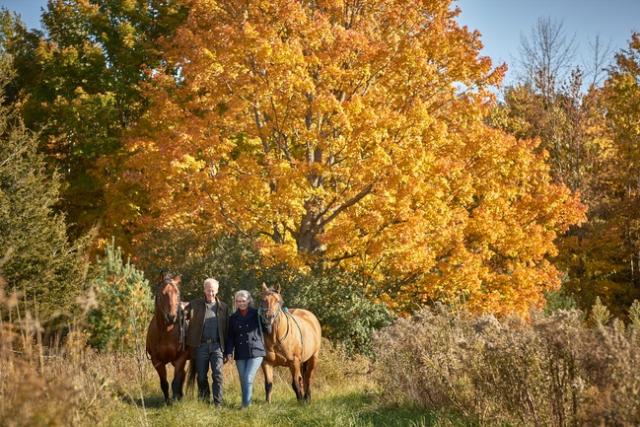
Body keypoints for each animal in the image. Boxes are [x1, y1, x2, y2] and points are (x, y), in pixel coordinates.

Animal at [147, 274, 190, 404]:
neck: (166, 332)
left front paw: (175, 400)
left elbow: (175, 381)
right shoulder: (157, 361)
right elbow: (164, 383)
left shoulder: (181, 358)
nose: (171, 317)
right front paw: (167, 401)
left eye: (177, 293)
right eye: (163, 293)